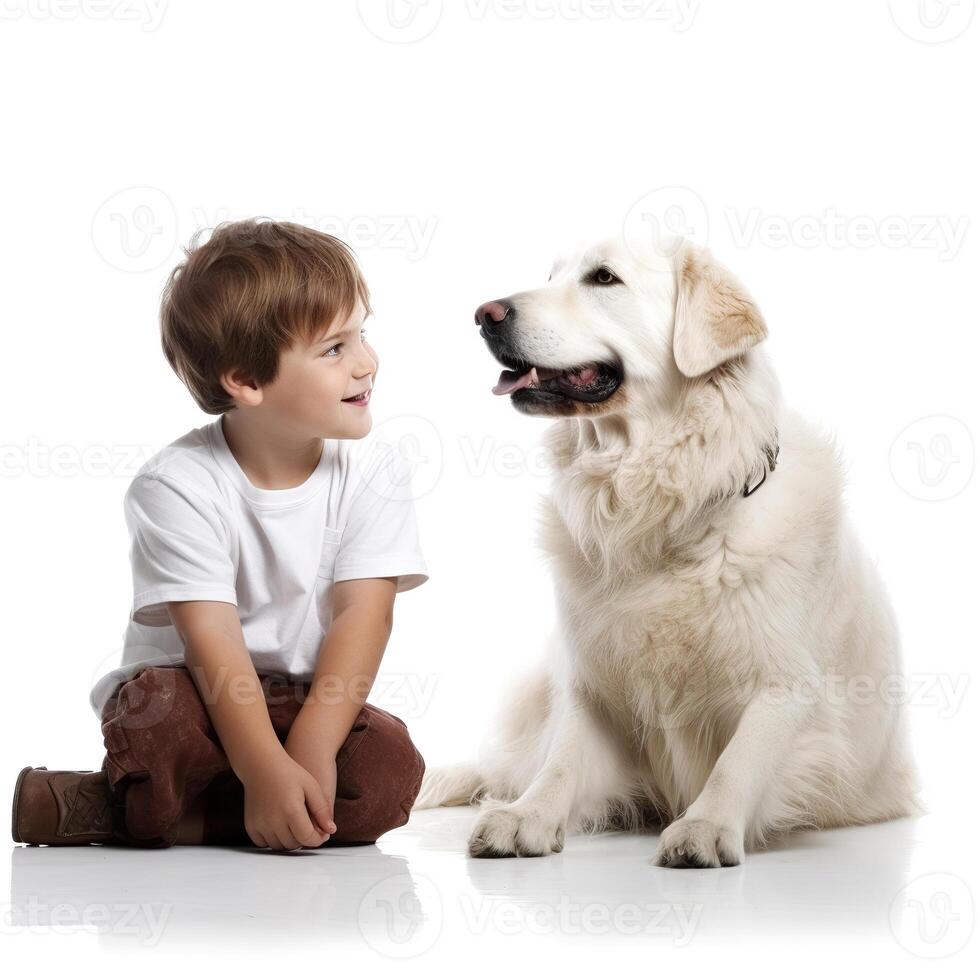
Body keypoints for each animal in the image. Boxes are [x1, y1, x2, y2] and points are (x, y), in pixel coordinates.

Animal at [418, 234, 924, 868]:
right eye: (551, 275)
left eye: (604, 278)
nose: (485, 314)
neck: (659, 509)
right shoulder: (592, 682)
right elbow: (561, 759)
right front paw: (527, 817)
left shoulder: (790, 689)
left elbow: (741, 757)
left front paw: (705, 825)